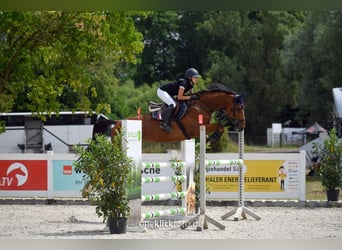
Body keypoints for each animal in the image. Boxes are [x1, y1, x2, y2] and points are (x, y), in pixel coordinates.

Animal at [93, 84, 246, 144]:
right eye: (239, 107)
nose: (242, 126)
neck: (202, 106)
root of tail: (117, 122)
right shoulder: (197, 129)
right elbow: (219, 125)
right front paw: (213, 138)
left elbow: (219, 126)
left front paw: (211, 138)